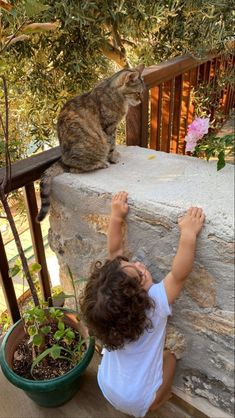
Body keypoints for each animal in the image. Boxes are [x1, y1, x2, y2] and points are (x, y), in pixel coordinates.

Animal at [35, 64, 144, 222]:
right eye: (138, 93)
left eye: (142, 92)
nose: (141, 100)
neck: (116, 94)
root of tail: (63, 158)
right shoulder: (108, 127)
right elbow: (111, 144)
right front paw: (113, 157)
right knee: (74, 169)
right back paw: (101, 163)